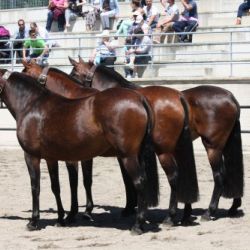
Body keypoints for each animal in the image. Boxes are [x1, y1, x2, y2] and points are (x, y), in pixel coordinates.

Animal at [0, 69, 159, 234]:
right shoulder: (51, 158)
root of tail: (139, 99)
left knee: (139, 182)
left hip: (128, 156)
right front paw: (61, 219)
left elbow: (35, 187)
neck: (31, 105)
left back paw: (137, 225)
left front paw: (33, 221)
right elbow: (55, 187)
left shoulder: (32, 156)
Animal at [22, 60, 200, 225]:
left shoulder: (79, 156)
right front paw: (129, 207)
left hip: (163, 151)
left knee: (174, 176)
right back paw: (185, 214)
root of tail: (178, 96)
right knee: (185, 174)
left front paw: (78, 213)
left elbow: (80, 181)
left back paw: (170, 216)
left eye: (74, 73)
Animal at [69, 57, 244, 221]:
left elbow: (127, 179)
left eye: (74, 74)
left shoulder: (124, 154)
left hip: (212, 146)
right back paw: (233, 206)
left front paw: (129, 207)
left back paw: (209, 211)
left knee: (219, 175)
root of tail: (231, 97)